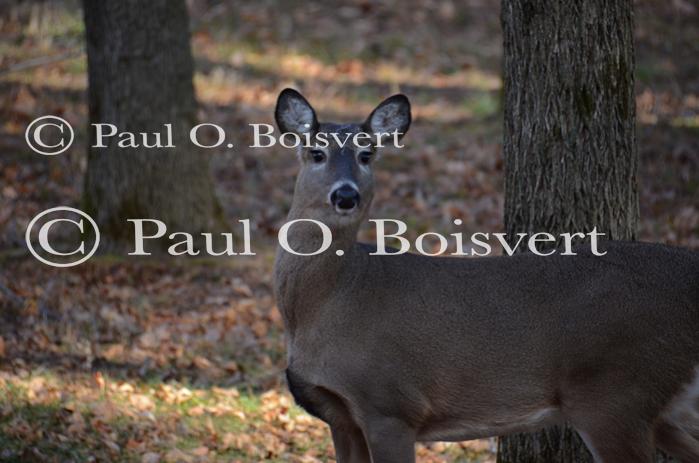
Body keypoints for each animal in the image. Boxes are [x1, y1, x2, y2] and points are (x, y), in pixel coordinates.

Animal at [272, 88, 699, 463]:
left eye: (367, 154)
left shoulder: (390, 404)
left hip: (616, 393)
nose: (345, 195)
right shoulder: (341, 417)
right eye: (316, 152)